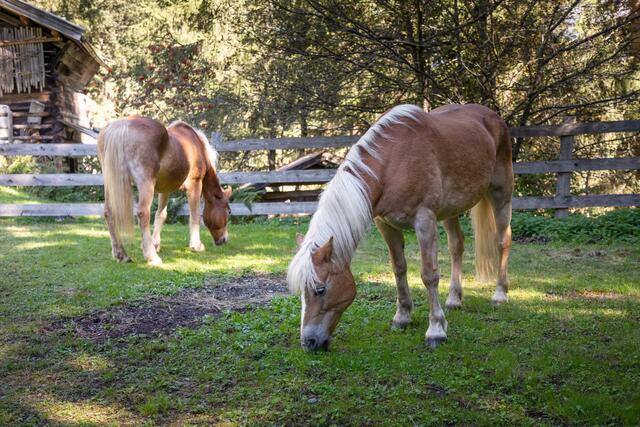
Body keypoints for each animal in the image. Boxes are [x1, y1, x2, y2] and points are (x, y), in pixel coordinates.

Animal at [97, 117, 232, 265]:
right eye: (228, 211)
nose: (224, 240)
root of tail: (122, 125)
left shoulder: (164, 190)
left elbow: (161, 215)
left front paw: (155, 244)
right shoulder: (195, 184)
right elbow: (195, 215)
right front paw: (196, 245)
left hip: (110, 183)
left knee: (109, 213)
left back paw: (121, 254)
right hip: (146, 184)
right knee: (143, 213)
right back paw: (151, 256)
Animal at [287, 104, 513, 351]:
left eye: (320, 289)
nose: (308, 342)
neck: (392, 162)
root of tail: (491, 116)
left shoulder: (424, 221)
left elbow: (429, 274)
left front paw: (436, 329)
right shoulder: (386, 225)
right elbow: (399, 268)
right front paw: (402, 317)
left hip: (501, 194)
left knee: (502, 240)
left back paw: (500, 294)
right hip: (450, 210)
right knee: (457, 246)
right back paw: (454, 299)